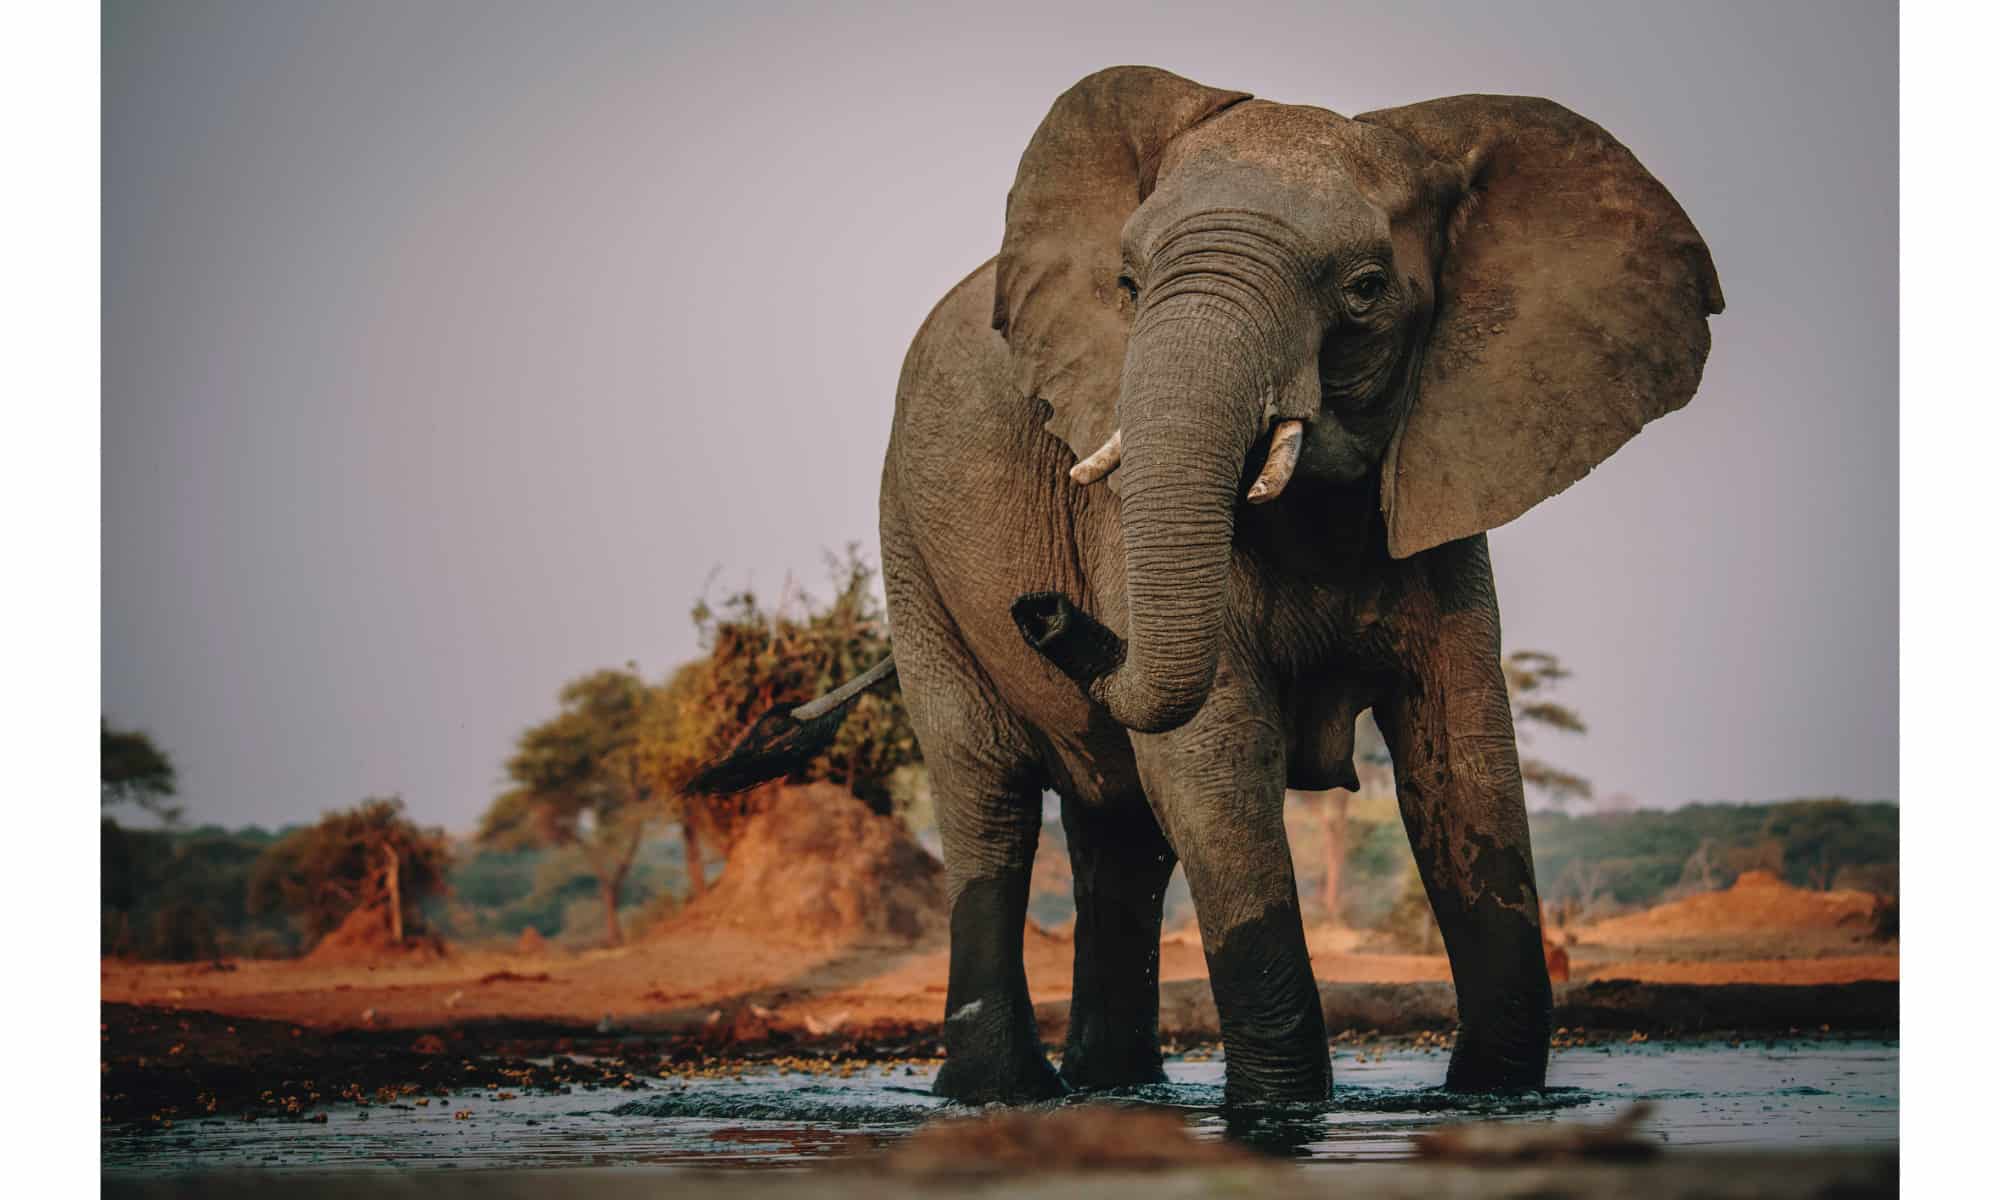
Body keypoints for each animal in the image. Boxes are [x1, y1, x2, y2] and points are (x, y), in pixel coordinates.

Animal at [692, 68, 1720, 1104]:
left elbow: (1463, 759)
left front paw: (1494, 1099)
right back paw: (1000, 1095)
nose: (1043, 609)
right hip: (910, 544)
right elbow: (1212, 756)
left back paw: (1112, 1089)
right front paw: (1281, 1110)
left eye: (1365, 289)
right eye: (1128, 285)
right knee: (991, 800)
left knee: (1122, 833)